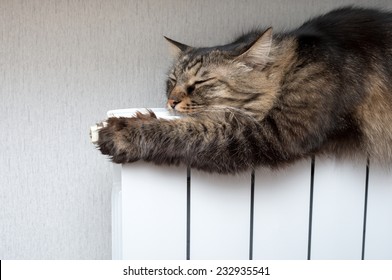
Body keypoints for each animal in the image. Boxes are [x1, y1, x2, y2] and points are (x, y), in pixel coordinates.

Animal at [96, 6, 392, 173]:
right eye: (172, 80)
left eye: (199, 83)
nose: (171, 102)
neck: (295, 64)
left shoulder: (276, 132)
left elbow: (189, 131)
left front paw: (122, 131)